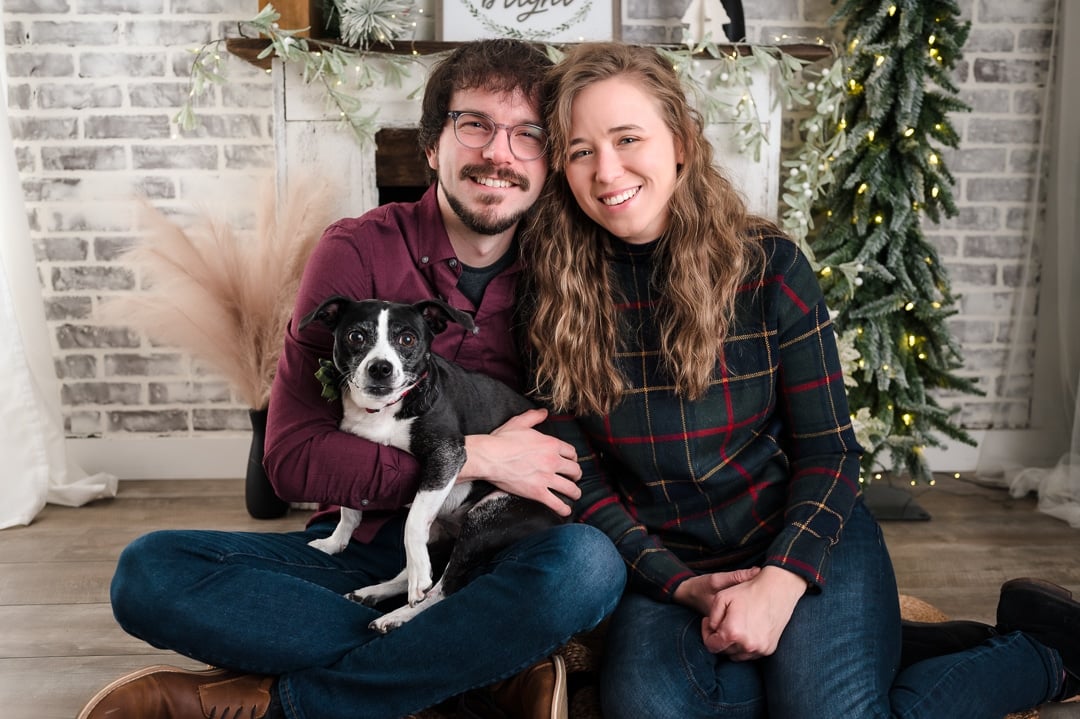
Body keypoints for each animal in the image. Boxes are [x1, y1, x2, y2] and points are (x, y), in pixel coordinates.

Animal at [298, 293, 561, 630]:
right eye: (356, 336)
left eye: (407, 339)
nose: (381, 367)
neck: (383, 410)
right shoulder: (355, 452)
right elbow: (350, 509)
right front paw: (335, 542)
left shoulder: (446, 455)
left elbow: (412, 523)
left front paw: (416, 582)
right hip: (443, 531)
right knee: (416, 569)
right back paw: (375, 592)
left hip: (486, 519)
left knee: (445, 588)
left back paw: (399, 613)